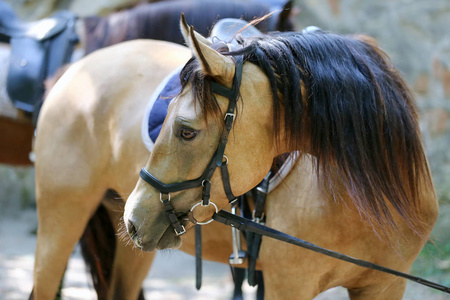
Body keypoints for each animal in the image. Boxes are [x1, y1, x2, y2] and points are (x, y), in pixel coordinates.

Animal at [32, 15, 440, 300]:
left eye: (186, 130)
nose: (134, 217)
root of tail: (77, 68)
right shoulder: (287, 285)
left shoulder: (384, 285)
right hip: (61, 220)